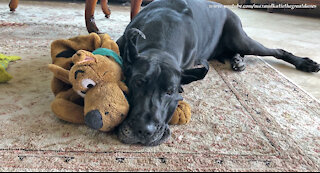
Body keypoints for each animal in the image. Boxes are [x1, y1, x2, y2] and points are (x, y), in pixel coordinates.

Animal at [115, 0, 320, 146]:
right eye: (137, 83)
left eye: (170, 92)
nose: (144, 130)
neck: (160, 44)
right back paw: (238, 61)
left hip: (242, 39)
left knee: (276, 50)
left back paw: (305, 63)